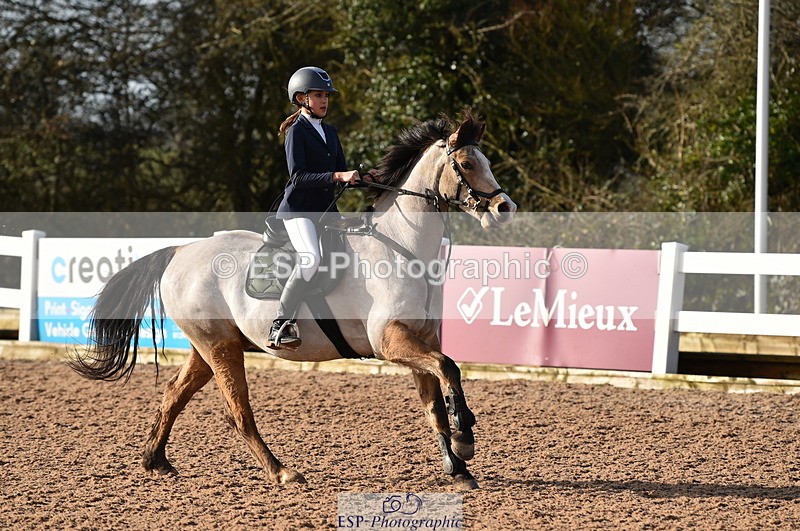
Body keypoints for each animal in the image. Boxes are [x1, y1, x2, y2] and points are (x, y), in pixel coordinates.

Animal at [69, 110, 517, 490]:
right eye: (468, 164)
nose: (504, 207)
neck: (402, 249)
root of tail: (180, 251)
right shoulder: (390, 341)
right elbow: (450, 369)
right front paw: (464, 439)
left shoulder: (419, 340)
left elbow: (435, 399)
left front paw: (458, 466)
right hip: (220, 347)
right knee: (238, 413)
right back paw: (282, 472)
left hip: (209, 345)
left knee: (174, 395)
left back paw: (156, 461)